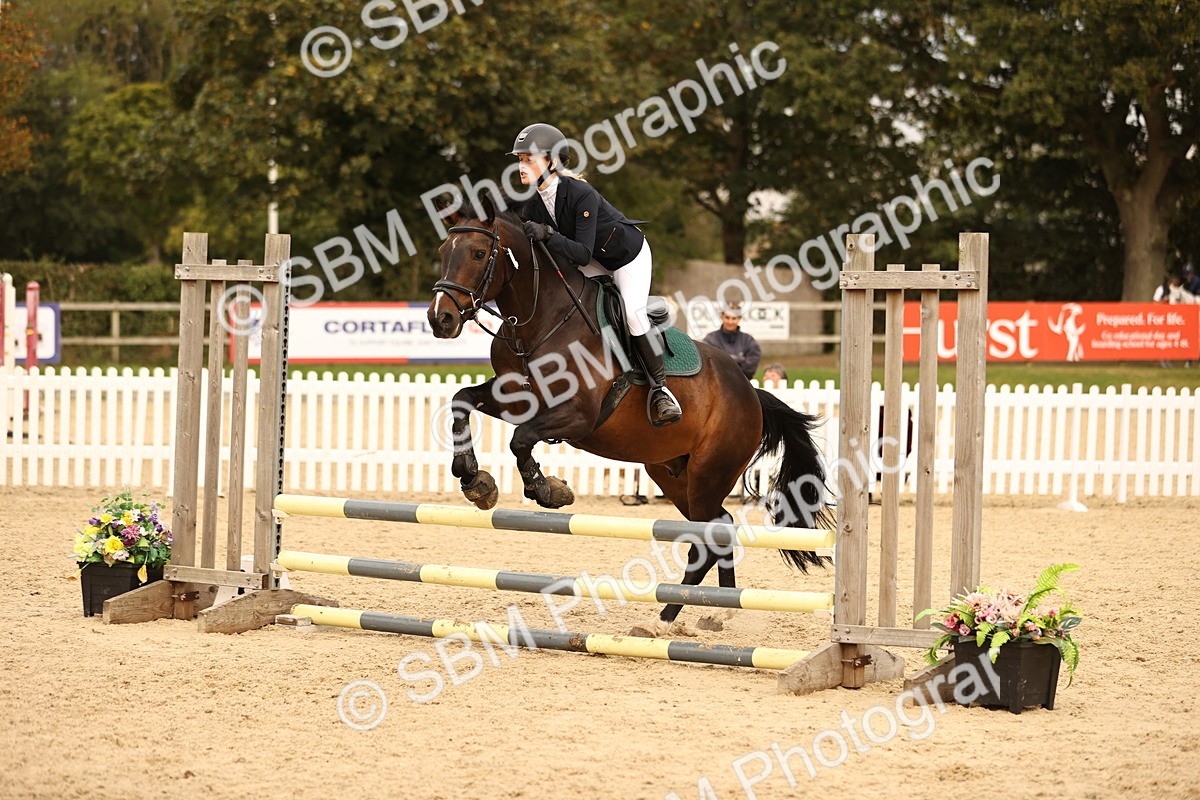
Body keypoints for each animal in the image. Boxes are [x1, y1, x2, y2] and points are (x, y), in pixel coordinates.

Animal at [426, 196, 832, 636]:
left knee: (710, 535)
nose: (440, 319)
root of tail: (751, 394)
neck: (539, 321)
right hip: (671, 473)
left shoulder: (579, 416)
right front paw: (474, 479)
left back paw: (665, 619)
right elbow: (462, 401)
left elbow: (520, 440)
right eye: (443, 252)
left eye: (479, 254)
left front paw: (547, 489)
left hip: (709, 473)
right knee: (718, 528)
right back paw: (715, 611)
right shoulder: (517, 398)